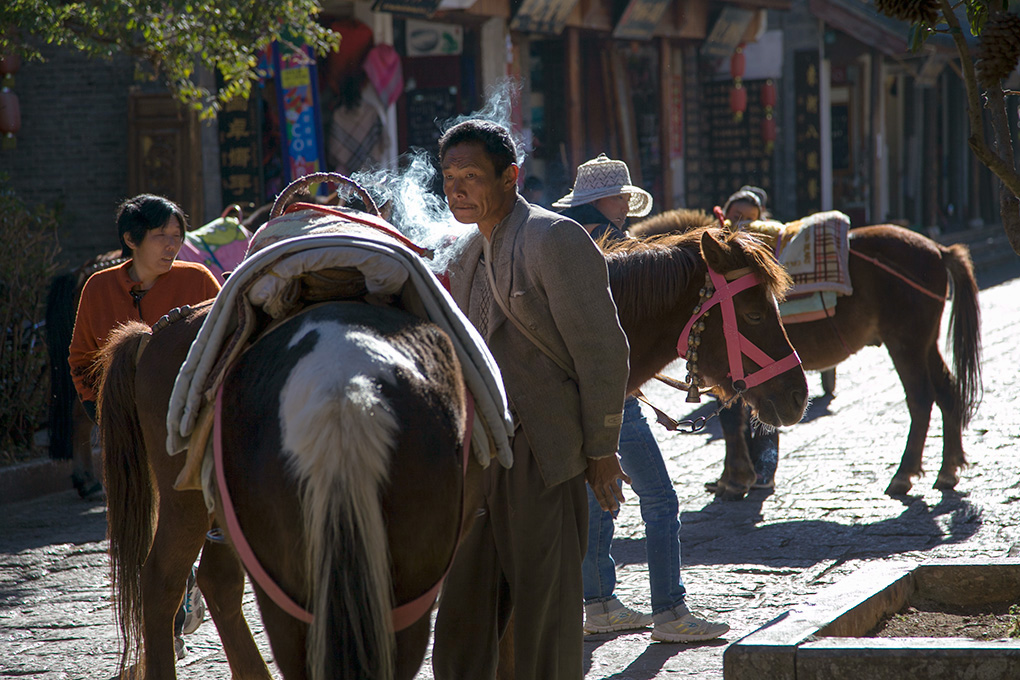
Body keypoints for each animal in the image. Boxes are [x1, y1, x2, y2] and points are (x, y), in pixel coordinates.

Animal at [97, 222, 811, 676]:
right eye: (752, 314)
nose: (798, 394)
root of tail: (156, 331)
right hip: (188, 504)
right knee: (163, 586)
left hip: (230, 511)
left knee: (219, 582)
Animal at [636, 210, 979, 497]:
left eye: (757, 314)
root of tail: (938, 249)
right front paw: (731, 478)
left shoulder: (730, 375)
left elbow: (732, 422)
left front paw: (735, 480)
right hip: (925, 344)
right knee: (948, 392)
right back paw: (948, 470)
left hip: (905, 344)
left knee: (921, 400)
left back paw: (904, 475)